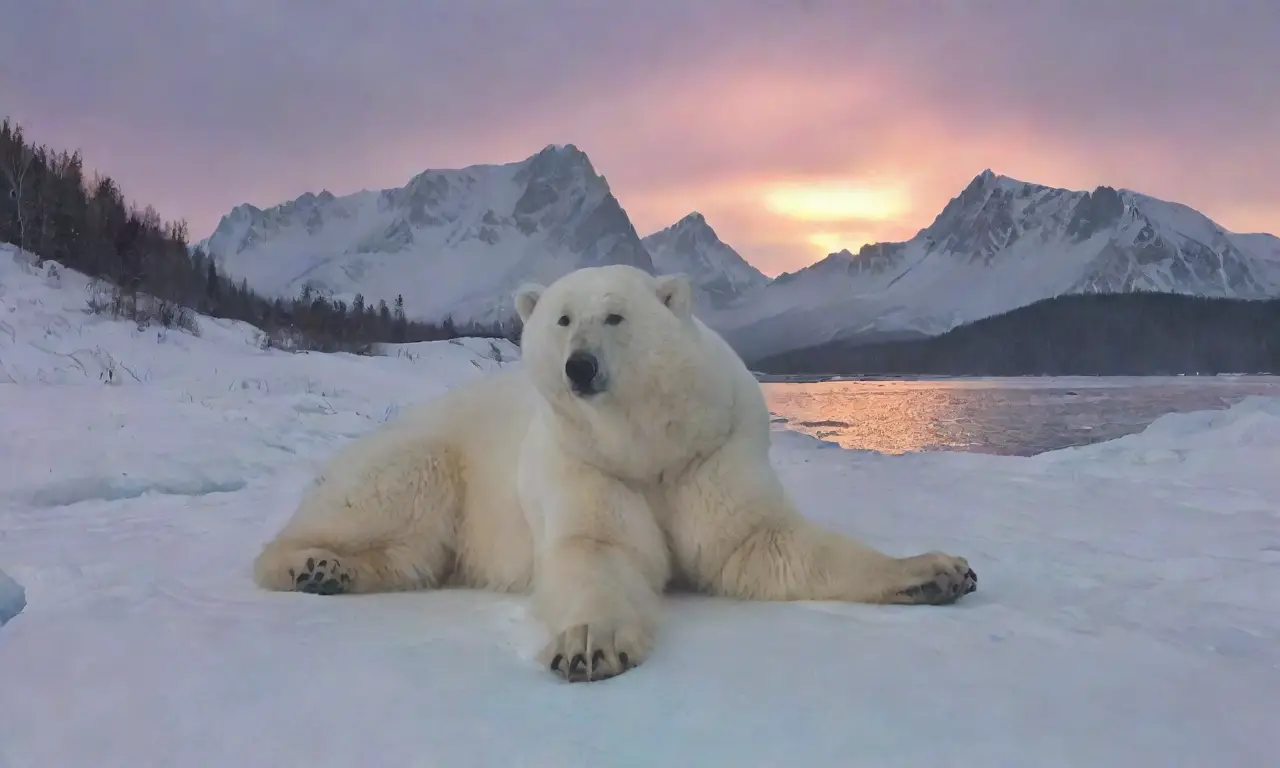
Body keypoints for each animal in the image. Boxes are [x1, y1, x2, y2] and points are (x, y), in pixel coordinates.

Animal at [252, 264, 977, 683]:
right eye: (563, 318)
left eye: (616, 315)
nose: (581, 365)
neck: (645, 444)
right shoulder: (583, 461)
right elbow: (597, 549)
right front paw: (587, 646)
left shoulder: (710, 452)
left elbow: (758, 543)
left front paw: (938, 571)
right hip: (421, 456)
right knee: (380, 500)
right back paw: (313, 564)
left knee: (413, 556)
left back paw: (339, 574)